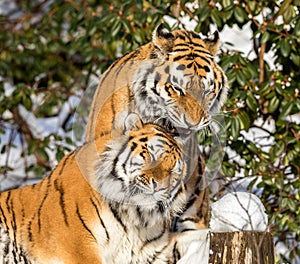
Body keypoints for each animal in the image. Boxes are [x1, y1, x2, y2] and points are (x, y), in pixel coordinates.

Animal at [0, 114, 206, 264]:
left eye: (173, 171)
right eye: (151, 154)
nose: (160, 186)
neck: (134, 215)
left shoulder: (150, 251)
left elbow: (190, 238)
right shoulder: (75, 243)